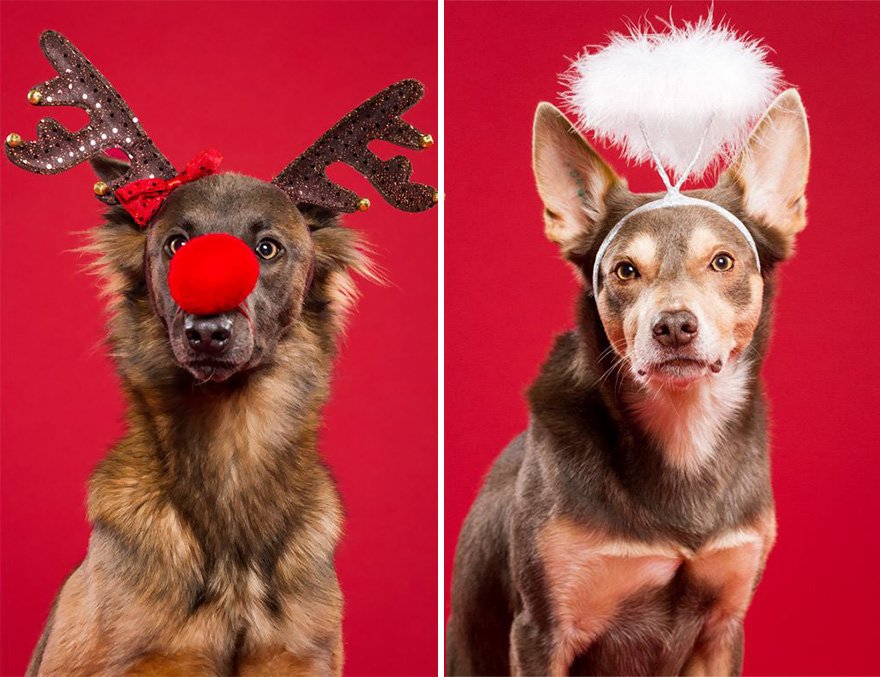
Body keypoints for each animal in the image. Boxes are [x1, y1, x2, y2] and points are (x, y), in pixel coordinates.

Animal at [446, 17, 812, 676]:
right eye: (623, 271)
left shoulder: (722, 630)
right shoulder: (542, 631)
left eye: (723, 261)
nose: (673, 326)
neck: (683, 432)